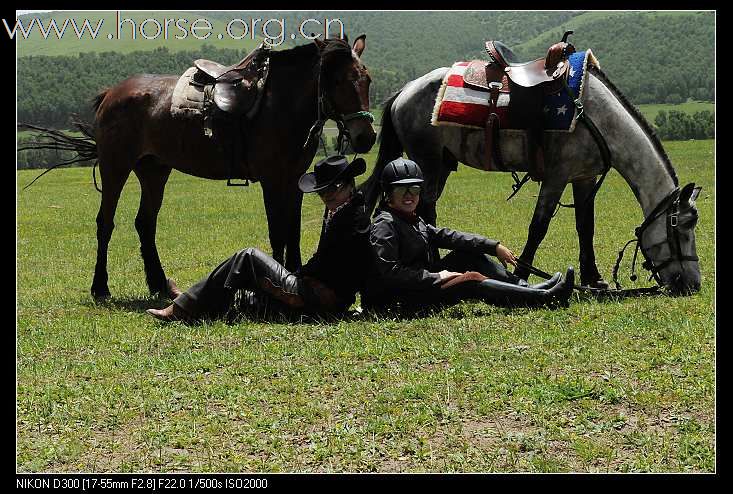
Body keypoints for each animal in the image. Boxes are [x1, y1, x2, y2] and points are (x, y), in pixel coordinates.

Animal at [83, 36, 374, 300]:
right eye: (338, 81)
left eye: (367, 80)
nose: (366, 137)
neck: (281, 104)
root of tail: (112, 93)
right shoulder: (271, 180)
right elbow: (277, 231)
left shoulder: (295, 180)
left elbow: (293, 230)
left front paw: (295, 275)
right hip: (115, 167)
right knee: (105, 223)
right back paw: (100, 287)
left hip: (154, 171)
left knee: (145, 223)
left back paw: (159, 285)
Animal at [364, 61, 700, 294]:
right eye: (682, 227)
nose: (693, 284)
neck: (594, 116)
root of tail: (405, 91)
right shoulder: (556, 177)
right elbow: (538, 227)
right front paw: (520, 274)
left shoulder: (584, 178)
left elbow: (585, 226)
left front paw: (593, 278)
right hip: (428, 163)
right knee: (423, 210)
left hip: (442, 165)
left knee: (427, 211)